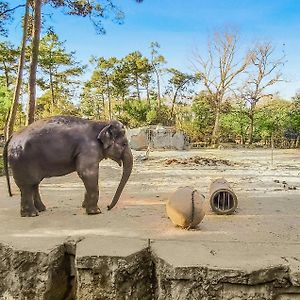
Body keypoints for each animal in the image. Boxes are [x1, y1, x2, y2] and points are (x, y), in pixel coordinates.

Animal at [2, 115, 132, 216]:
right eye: (124, 144)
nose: (108, 207)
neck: (101, 122)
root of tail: (12, 136)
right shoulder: (88, 149)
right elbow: (87, 173)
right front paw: (95, 212)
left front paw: (84, 206)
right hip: (22, 160)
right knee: (27, 186)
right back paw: (32, 214)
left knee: (34, 184)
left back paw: (41, 209)